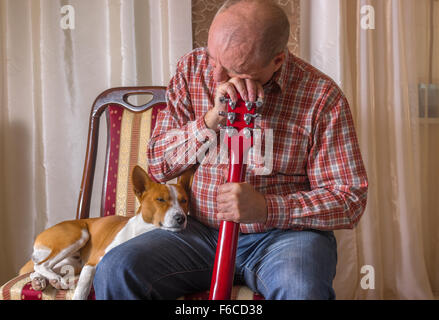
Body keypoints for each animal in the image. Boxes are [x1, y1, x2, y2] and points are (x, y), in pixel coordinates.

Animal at [18, 166, 192, 298]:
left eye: (184, 201)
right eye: (160, 200)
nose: (181, 218)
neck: (142, 231)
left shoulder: (86, 266)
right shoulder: (91, 264)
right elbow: (81, 291)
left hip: (73, 263)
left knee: (37, 267)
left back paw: (40, 281)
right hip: (78, 236)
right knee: (41, 264)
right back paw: (52, 279)